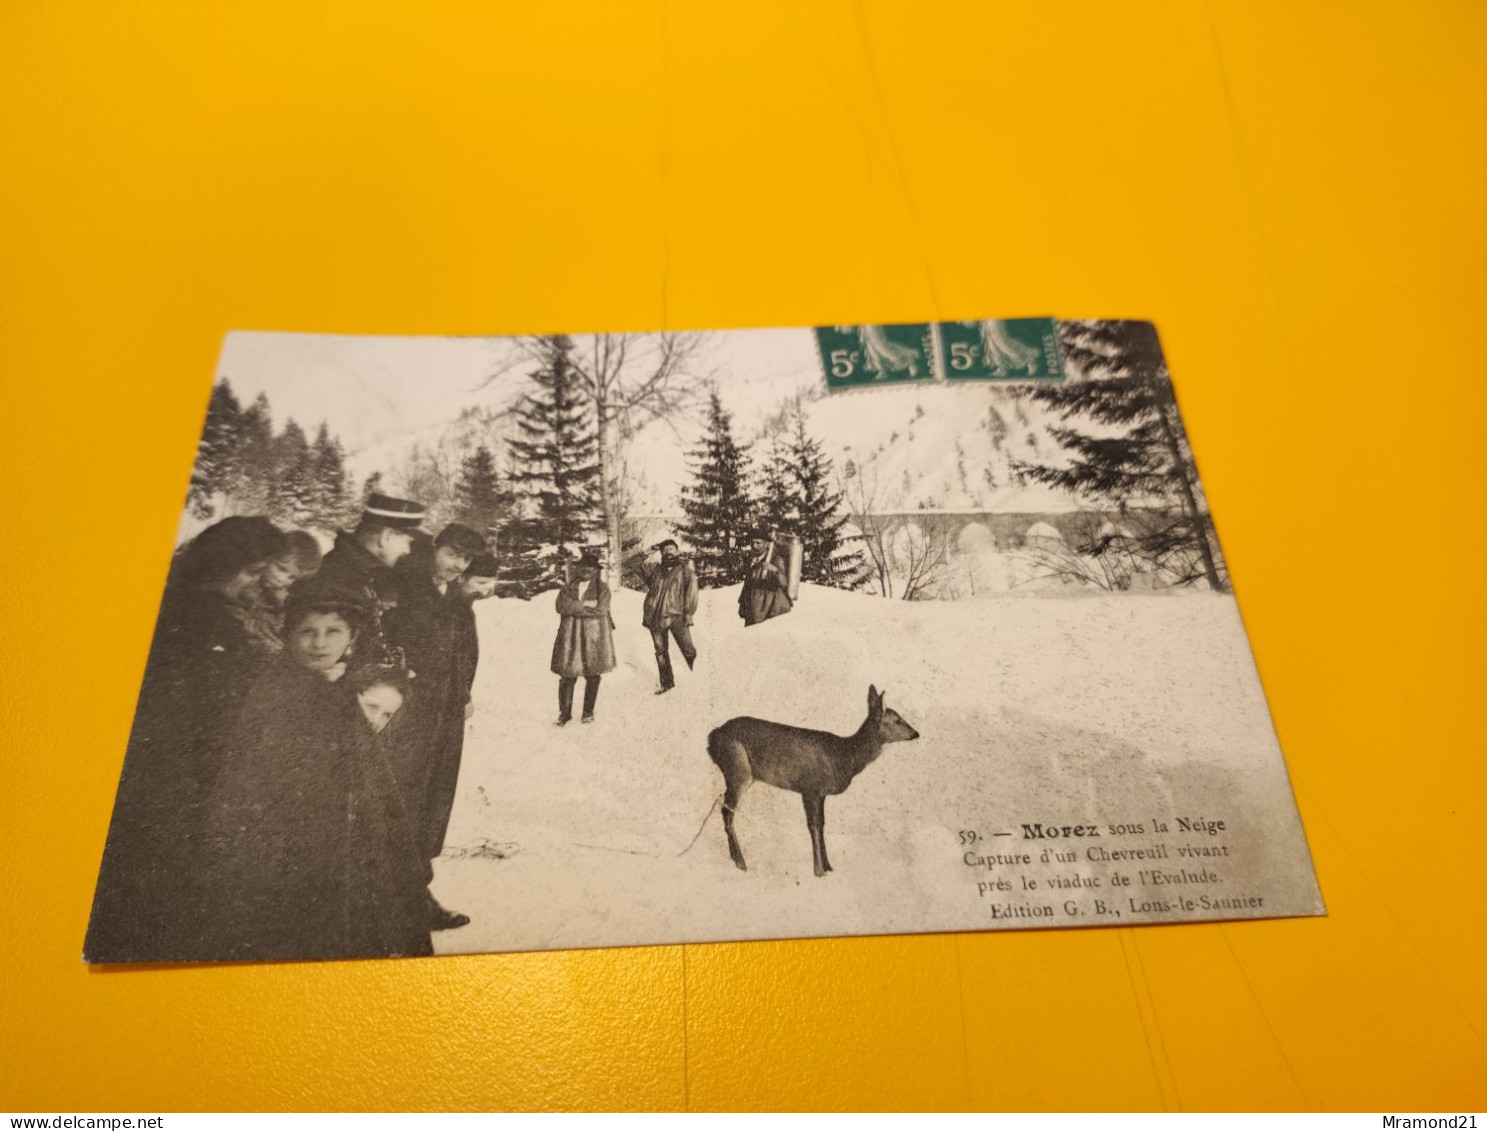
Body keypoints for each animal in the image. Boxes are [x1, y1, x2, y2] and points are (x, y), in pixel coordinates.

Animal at [707, 680, 915, 873]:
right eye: (897, 720)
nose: (916, 733)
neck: (844, 757)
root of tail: (712, 738)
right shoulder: (810, 788)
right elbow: (813, 826)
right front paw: (818, 870)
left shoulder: (820, 794)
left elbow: (822, 824)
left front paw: (829, 867)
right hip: (738, 769)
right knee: (727, 810)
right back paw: (741, 863)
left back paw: (735, 859)